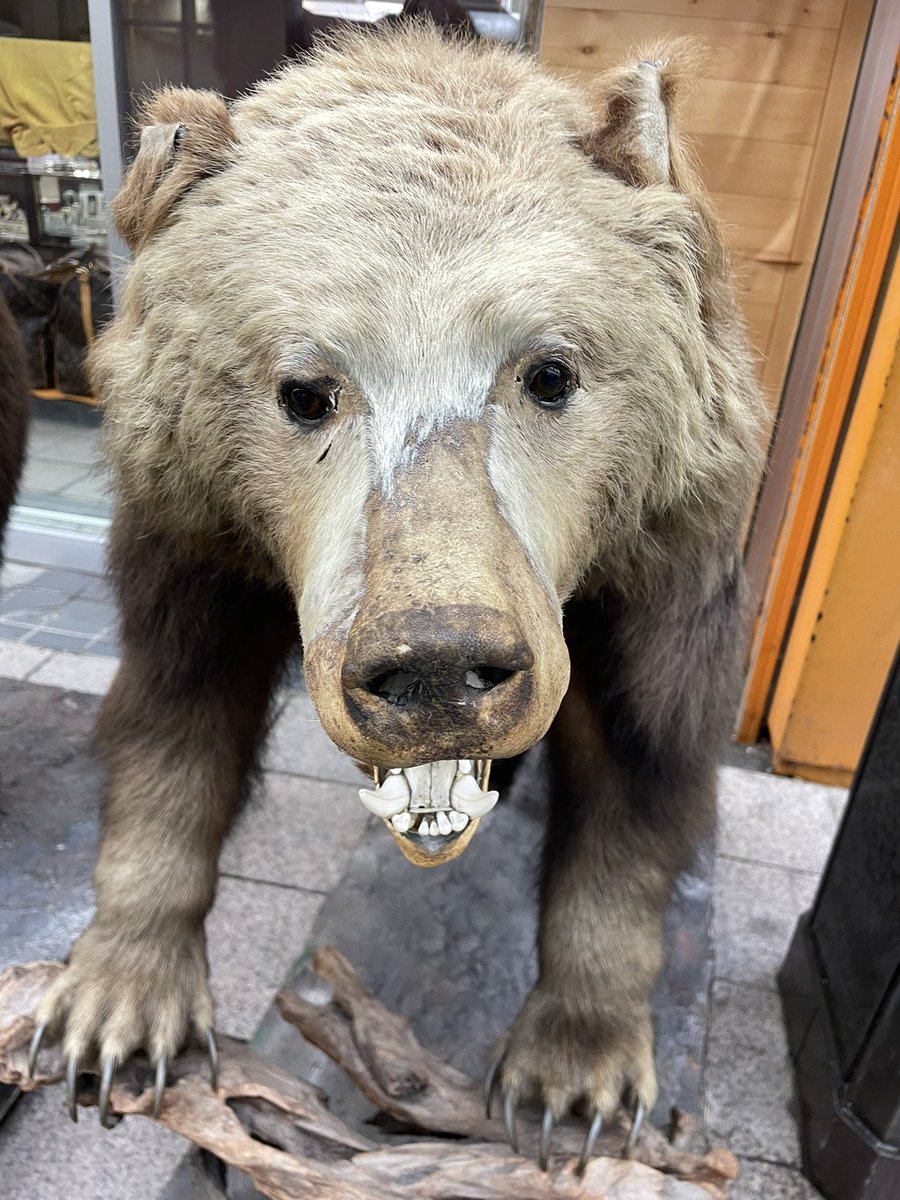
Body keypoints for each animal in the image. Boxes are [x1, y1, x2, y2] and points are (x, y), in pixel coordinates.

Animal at [30, 24, 765, 1165]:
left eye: (550, 371)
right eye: (303, 388)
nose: (435, 668)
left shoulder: (659, 570)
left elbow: (644, 764)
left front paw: (576, 1081)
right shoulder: (196, 546)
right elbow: (174, 715)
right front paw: (116, 1012)